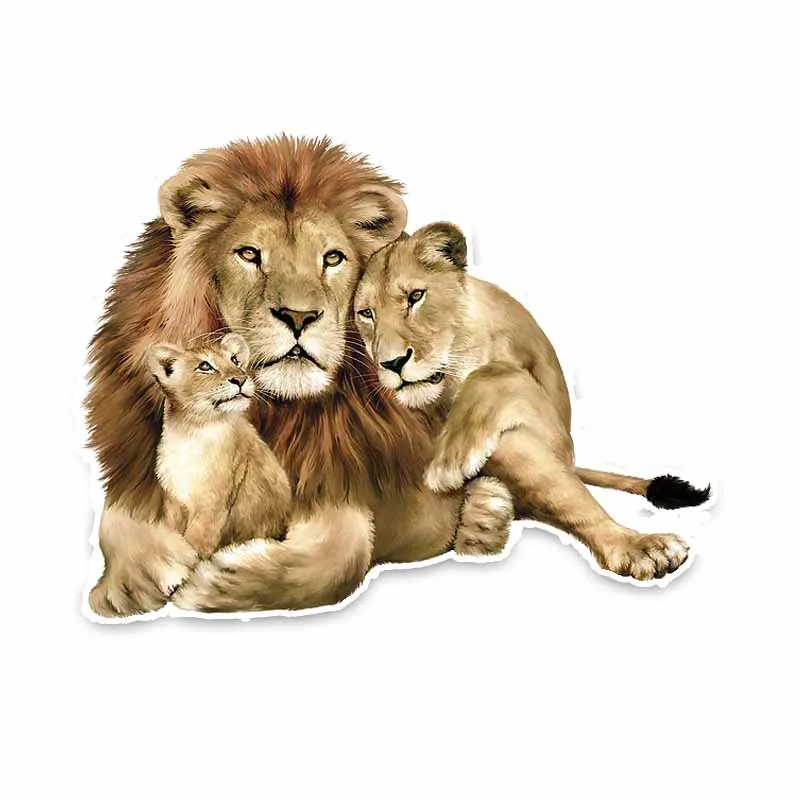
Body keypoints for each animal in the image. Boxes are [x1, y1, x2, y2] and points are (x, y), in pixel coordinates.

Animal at [87, 136, 510, 617]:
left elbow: (345, 550)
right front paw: (127, 580)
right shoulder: (137, 471)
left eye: (333, 258)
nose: (299, 315)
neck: (279, 411)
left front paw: (221, 581)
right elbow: (117, 518)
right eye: (249, 254)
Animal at [354, 221, 710, 580]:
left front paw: (448, 463)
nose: (392, 363)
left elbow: (494, 372)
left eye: (415, 296)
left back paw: (640, 547)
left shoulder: (551, 424)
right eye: (366, 314)